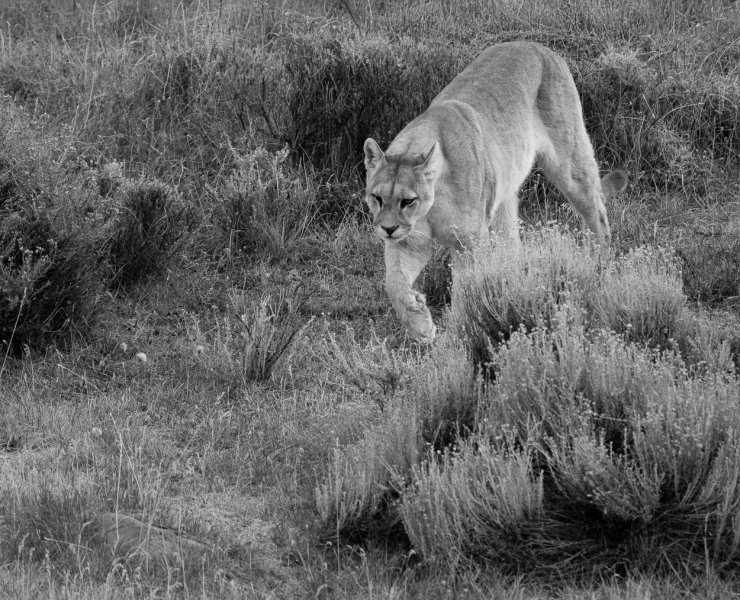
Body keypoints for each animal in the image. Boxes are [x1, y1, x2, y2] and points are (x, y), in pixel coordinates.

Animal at [363, 41, 627, 343]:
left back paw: (595, 268)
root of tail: (537, 45)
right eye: (377, 198)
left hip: (569, 164)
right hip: (505, 196)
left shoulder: (468, 243)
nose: (387, 229)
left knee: (597, 214)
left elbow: (465, 288)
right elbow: (393, 281)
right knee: (512, 244)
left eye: (408, 201)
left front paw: (459, 330)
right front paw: (419, 323)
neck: (432, 203)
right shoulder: (409, 241)